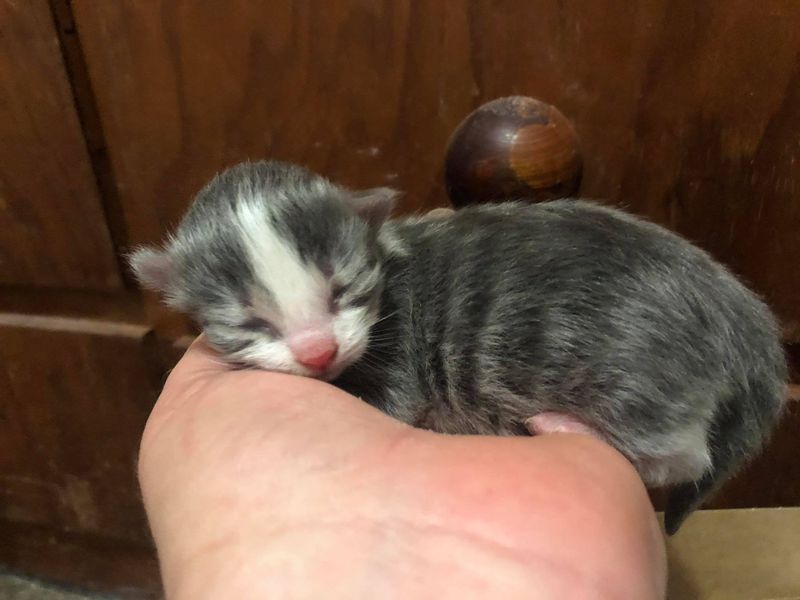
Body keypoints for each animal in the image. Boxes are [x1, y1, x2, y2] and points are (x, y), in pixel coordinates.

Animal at [131, 159, 788, 536]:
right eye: (251, 323)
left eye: (344, 291)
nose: (317, 353)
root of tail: (741, 317)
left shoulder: (394, 358)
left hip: (640, 381)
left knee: (682, 455)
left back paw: (567, 427)